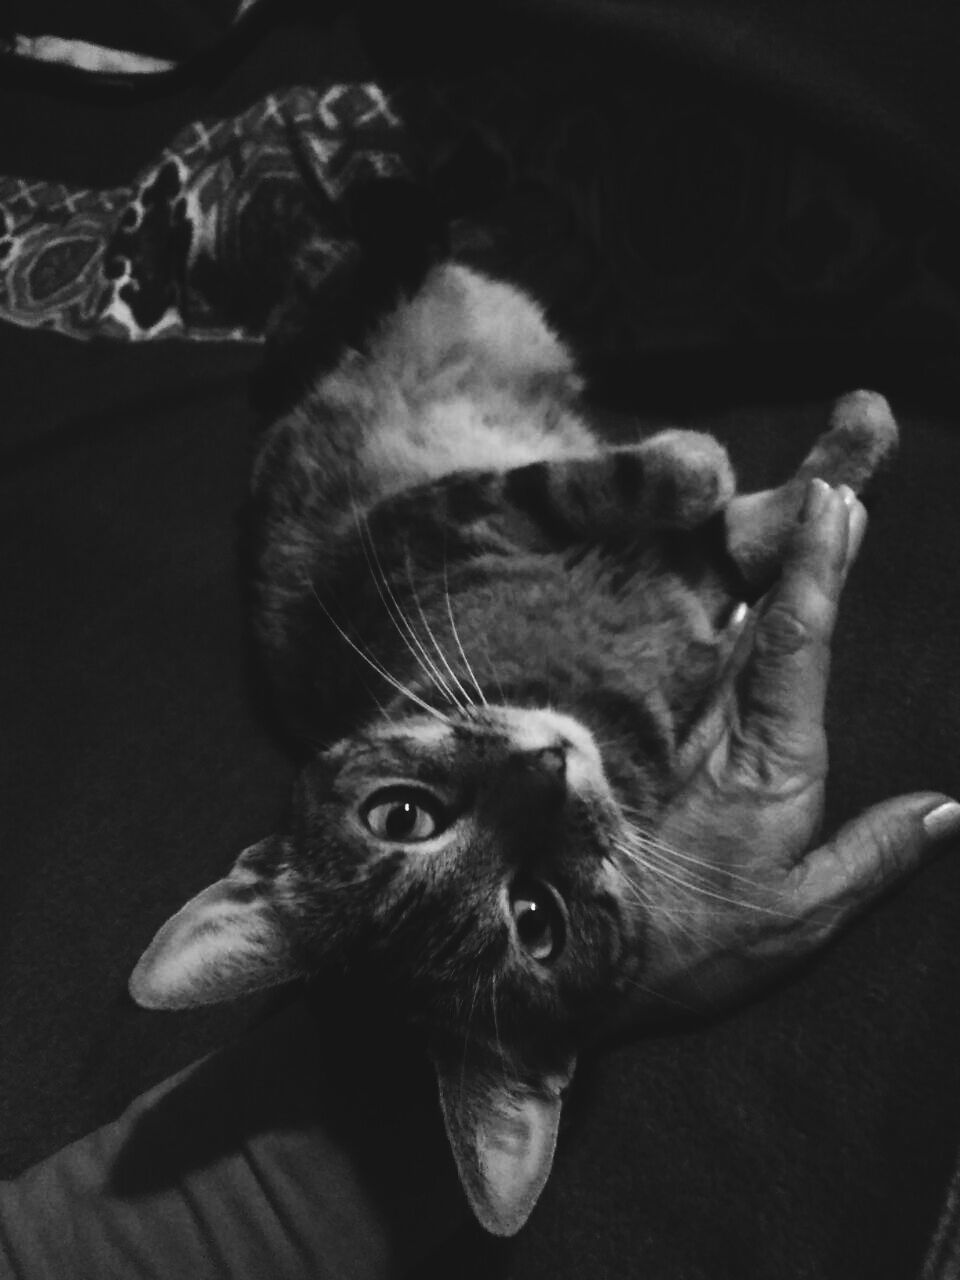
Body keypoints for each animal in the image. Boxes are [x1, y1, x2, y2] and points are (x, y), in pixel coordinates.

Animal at [128, 257, 901, 1228]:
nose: (546, 769)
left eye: (401, 816)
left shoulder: (420, 528)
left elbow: (722, 513)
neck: (579, 700)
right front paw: (793, 467)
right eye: (536, 920)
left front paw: (836, 453)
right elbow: (682, 490)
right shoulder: (448, 521)